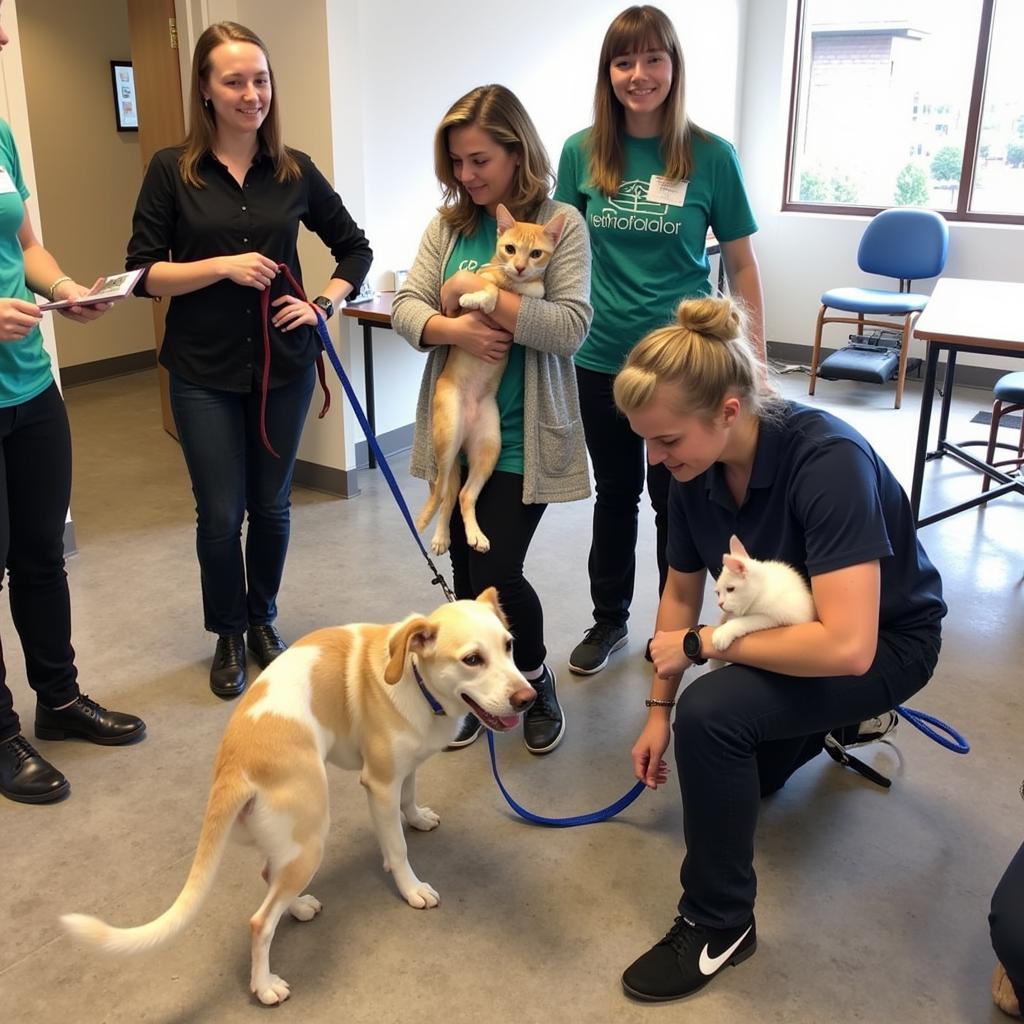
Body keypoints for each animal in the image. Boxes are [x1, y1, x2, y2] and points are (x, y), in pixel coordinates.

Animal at [61, 593, 536, 1007]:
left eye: (509, 646)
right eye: (472, 659)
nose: (527, 699)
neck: (416, 680)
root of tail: (234, 765)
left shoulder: (407, 766)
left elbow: (411, 794)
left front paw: (417, 816)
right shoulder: (380, 784)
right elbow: (397, 848)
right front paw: (411, 888)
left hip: (292, 845)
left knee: (270, 875)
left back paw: (299, 906)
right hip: (311, 837)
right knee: (260, 923)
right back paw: (264, 985)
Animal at [415, 203, 569, 557]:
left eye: (536, 253)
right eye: (510, 248)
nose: (521, 267)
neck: (510, 282)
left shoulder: (534, 290)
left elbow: (531, 288)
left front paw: (497, 295)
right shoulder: (464, 296)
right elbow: (485, 286)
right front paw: (477, 298)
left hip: (488, 448)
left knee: (461, 496)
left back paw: (475, 535)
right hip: (447, 439)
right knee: (441, 494)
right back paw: (437, 534)